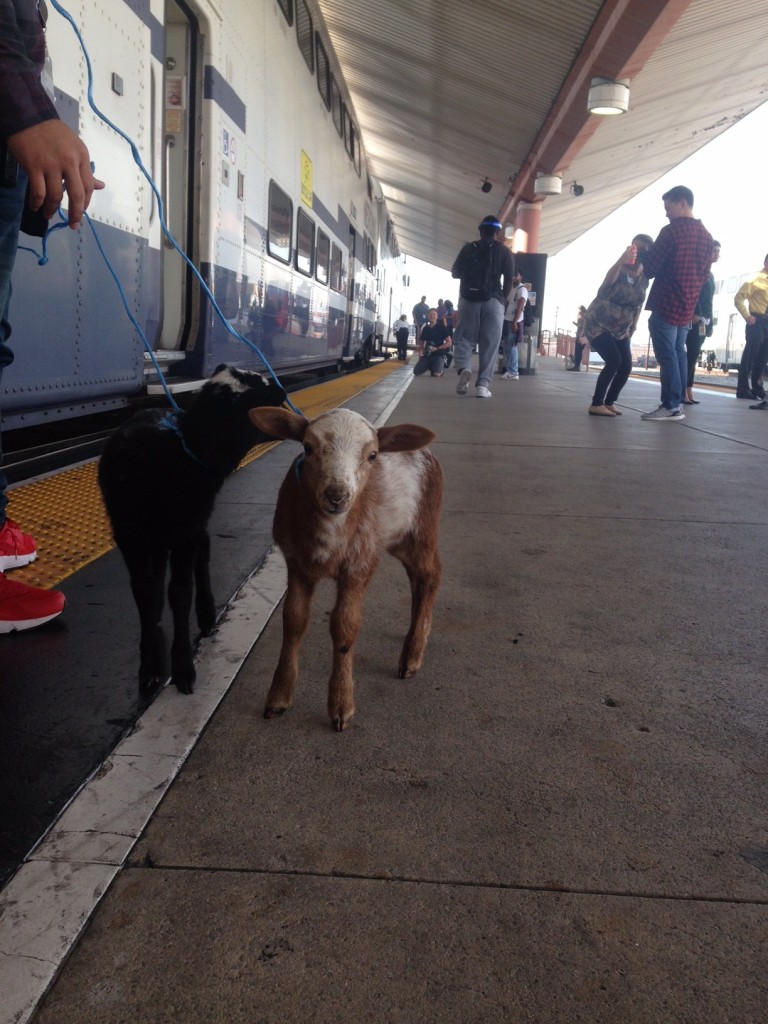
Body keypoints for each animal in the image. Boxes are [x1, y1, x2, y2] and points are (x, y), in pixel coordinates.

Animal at [98, 362, 286, 696]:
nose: (283, 390)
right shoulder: (128, 536)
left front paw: (182, 667)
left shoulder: (188, 529)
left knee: (202, 553)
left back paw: (207, 614)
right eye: (257, 392)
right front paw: (151, 666)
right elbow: (145, 592)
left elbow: (181, 593)